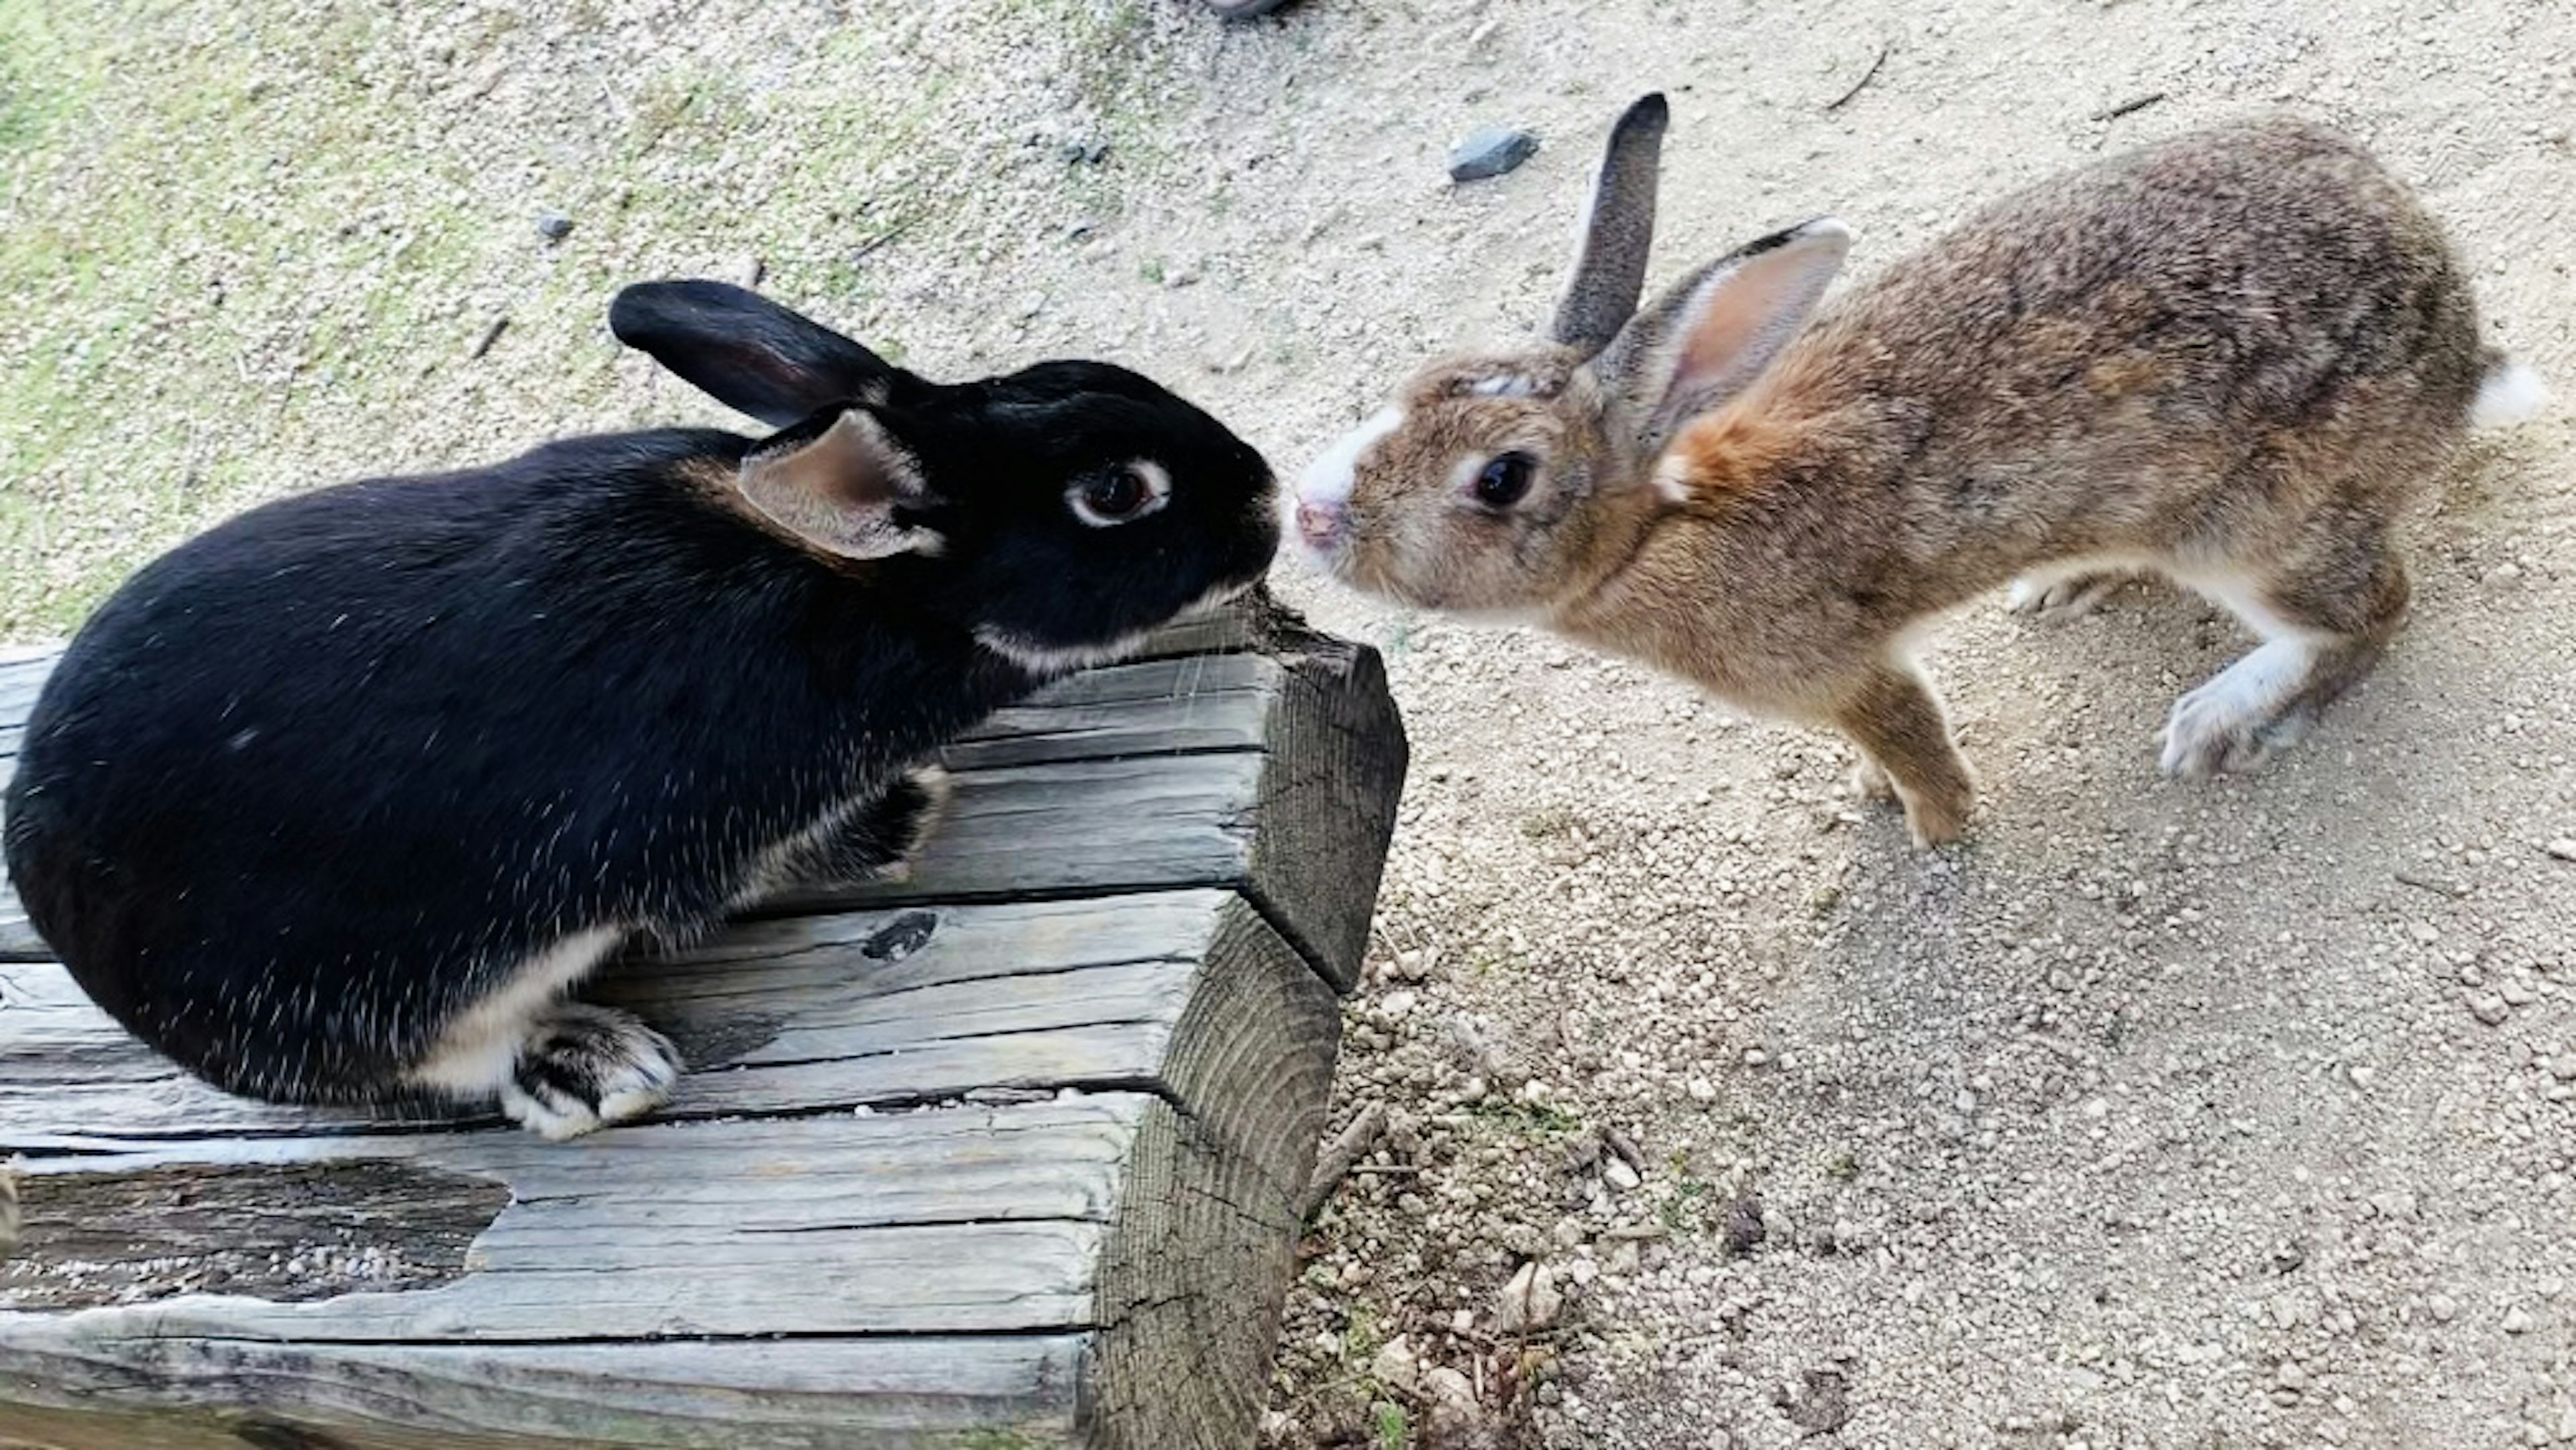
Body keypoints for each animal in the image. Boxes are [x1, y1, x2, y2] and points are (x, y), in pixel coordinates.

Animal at [5, 283, 1283, 1138]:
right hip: (360, 999)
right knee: (431, 1067)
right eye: (1115, 493)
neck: (849, 585)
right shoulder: (698, 841)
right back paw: (586, 1064)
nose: (1269, 502)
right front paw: (892, 827)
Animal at [1288, 96, 2534, 844]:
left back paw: (2225, 721)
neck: (1661, 528)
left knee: (2372, 613)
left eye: (1501, 479)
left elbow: (1909, 732)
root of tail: (2462, 358)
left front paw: (1931, 822)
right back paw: (2073, 582)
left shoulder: (1846, 670)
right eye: (1422, 377)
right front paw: (1872, 796)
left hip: (2260, 530)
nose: (1309, 514)